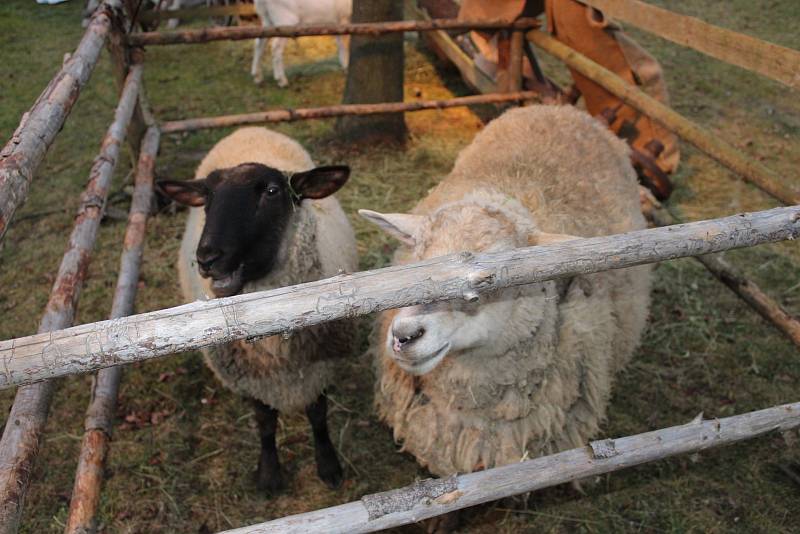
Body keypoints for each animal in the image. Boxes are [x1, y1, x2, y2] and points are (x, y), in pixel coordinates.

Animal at [159, 127, 356, 496]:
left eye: (272, 191)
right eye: (207, 197)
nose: (207, 258)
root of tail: (248, 129)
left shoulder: (322, 365)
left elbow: (318, 416)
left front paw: (328, 466)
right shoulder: (249, 378)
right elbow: (265, 424)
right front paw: (269, 475)